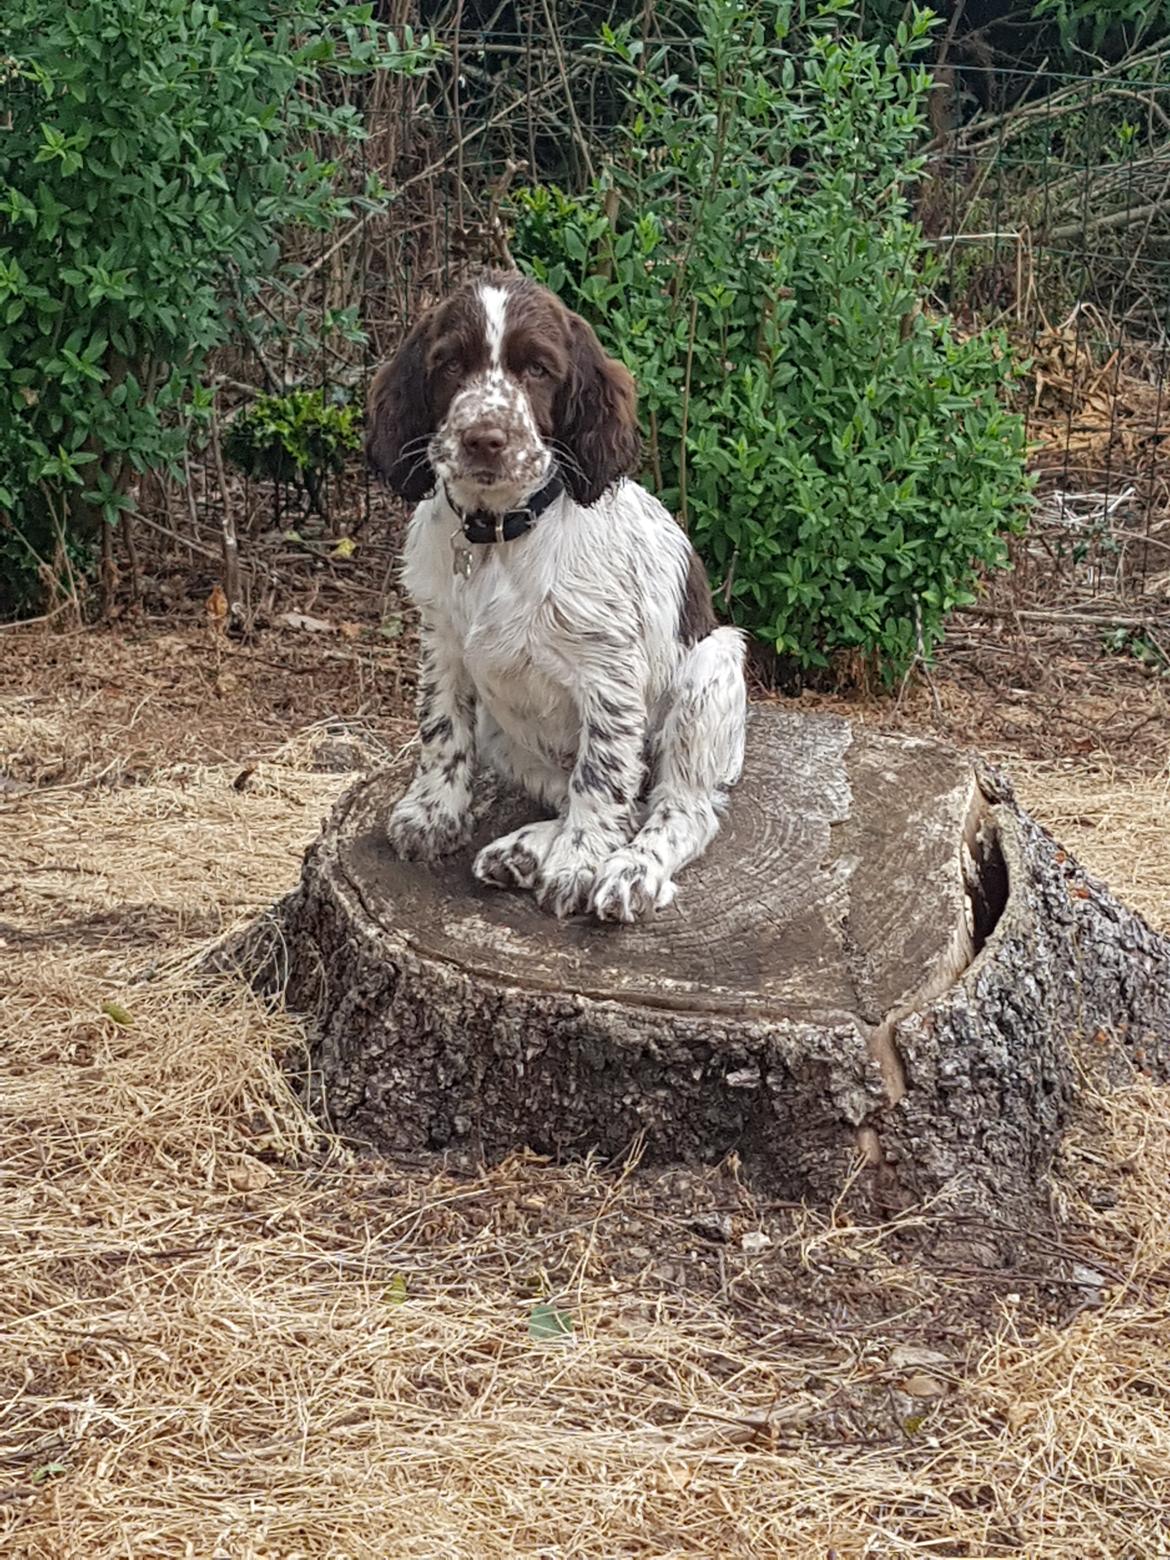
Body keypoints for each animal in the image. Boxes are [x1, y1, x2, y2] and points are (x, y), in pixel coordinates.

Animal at [368, 273, 751, 917]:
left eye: (538, 369)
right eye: (450, 364)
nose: (484, 439)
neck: (498, 536)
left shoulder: (609, 673)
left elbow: (600, 776)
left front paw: (578, 865)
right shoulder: (441, 641)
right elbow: (441, 729)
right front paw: (433, 813)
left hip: (710, 673)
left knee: (676, 809)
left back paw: (629, 871)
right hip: (502, 732)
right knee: (593, 795)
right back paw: (522, 851)